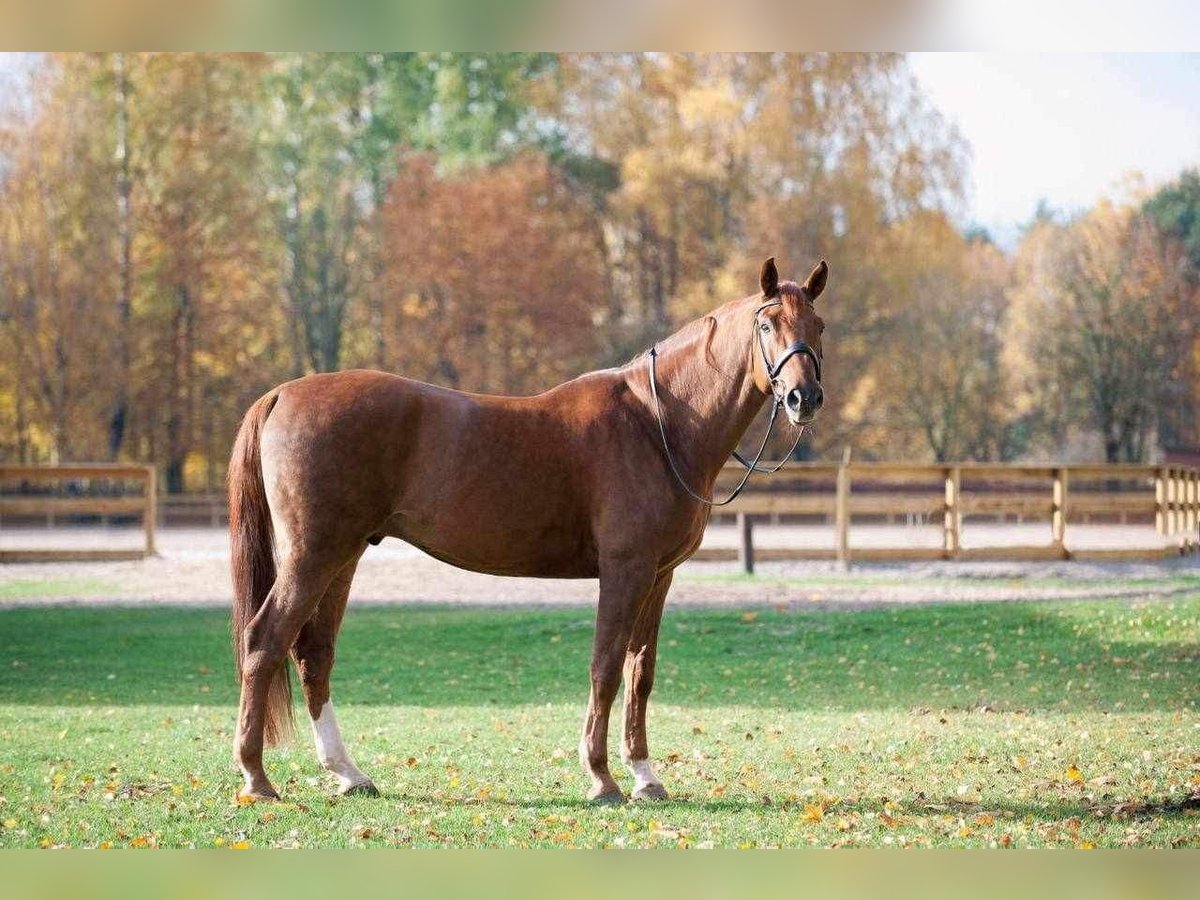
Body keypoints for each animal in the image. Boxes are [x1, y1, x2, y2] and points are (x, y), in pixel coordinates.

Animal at [231, 256, 835, 806]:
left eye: (818, 326)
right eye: (766, 325)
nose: (804, 398)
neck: (656, 425)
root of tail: (283, 393)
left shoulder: (659, 577)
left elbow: (640, 672)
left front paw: (645, 777)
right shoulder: (625, 572)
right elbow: (606, 668)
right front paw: (602, 779)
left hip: (344, 556)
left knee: (313, 654)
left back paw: (348, 774)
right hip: (314, 556)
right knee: (265, 641)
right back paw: (257, 778)